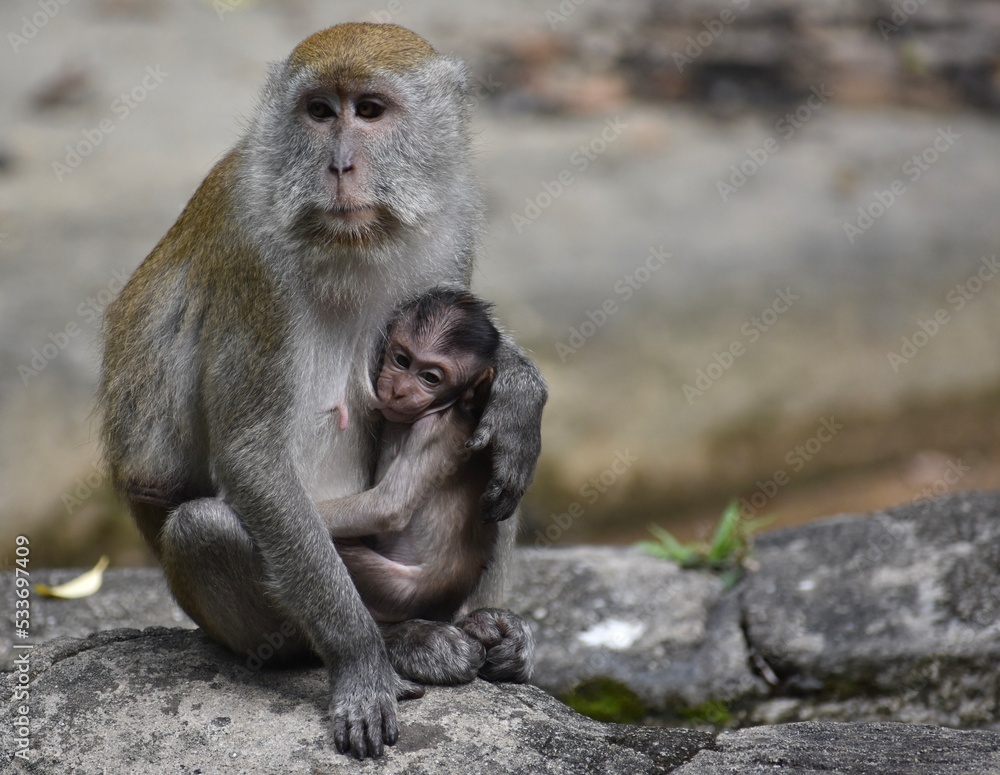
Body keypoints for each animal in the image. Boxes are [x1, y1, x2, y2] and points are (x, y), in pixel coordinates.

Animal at [99, 23, 546, 760]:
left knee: (502, 460)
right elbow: (251, 460)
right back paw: (399, 640)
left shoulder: (452, 225)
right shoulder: (254, 262)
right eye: (318, 112)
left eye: (369, 111)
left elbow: (476, 355)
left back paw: (489, 628)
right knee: (203, 528)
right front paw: (362, 661)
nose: (338, 165)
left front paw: (518, 388)